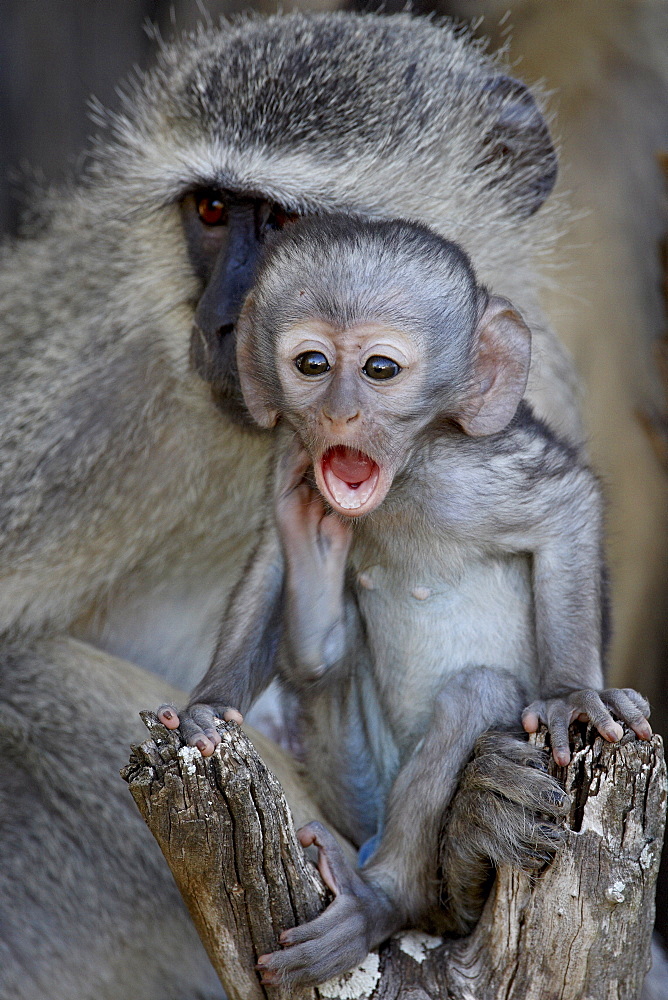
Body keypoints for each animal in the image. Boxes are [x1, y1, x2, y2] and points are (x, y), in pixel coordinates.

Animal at [159, 213, 648, 984]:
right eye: (313, 365)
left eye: (379, 371)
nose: (340, 414)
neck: (407, 475)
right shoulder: (291, 462)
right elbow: (270, 566)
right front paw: (208, 705)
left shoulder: (473, 472)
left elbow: (568, 507)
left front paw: (574, 693)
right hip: (355, 781)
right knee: (326, 669)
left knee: (477, 695)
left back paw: (384, 899)